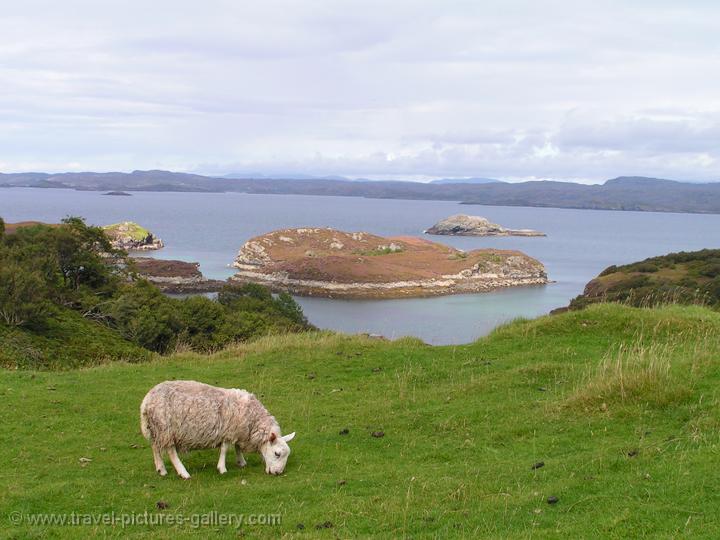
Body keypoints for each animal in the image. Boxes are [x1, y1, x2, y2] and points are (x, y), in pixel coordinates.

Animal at [139, 378, 296, 478]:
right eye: (277, 454)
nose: (278, 473)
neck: (252, 419)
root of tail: (146, 401)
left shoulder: (238, 430)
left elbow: (237, 446)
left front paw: (241, 462)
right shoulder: (228, 431)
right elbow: (225, 449)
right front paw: (222, 468)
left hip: (155, 429)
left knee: (155, 447)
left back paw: (161, 469)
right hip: (166, 429)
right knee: (171, 451)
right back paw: (184, 473)